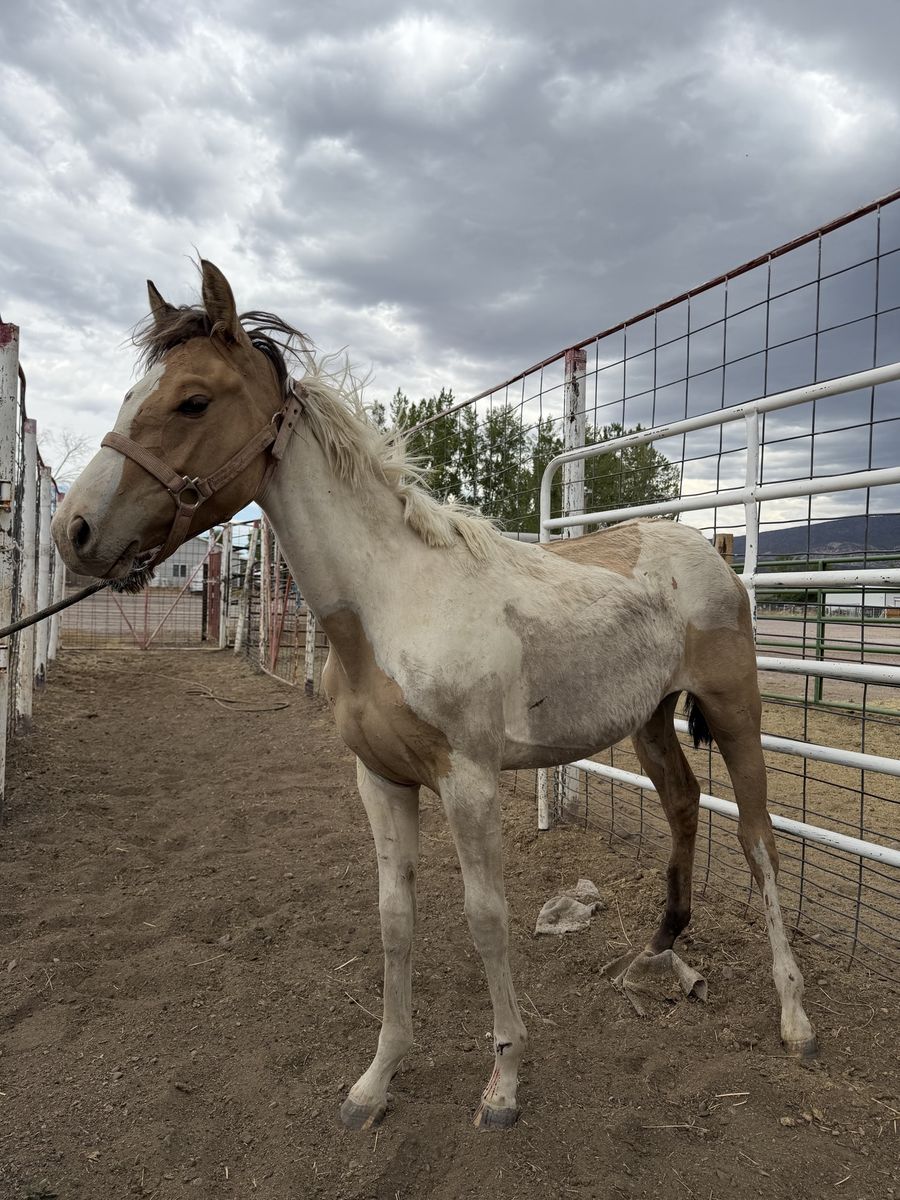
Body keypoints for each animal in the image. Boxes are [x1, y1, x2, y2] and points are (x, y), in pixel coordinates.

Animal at [52, 260, 817, 1132]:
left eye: (193, 400)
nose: (73, 531)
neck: (393, 602)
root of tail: (706, 551)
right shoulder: (382, 781)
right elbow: (395, 919)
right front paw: (376, 1080)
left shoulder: (468, 781)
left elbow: (487, 919)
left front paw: (505, 1084)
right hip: (650, 721)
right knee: (685, 804)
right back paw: (658, 950)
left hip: (736, 710)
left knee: (758, 839)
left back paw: (795, 1018)